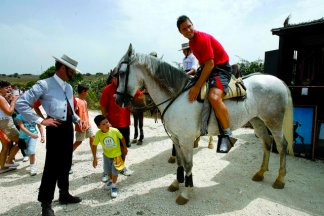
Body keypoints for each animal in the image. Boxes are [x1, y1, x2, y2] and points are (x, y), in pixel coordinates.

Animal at [114, 43, 294, 204]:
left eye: (121, 73)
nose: (117, 100)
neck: (177, 96)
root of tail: (278, 81)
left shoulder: (186, 140)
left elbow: (188, 165)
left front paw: (186, 192)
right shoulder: (176, 139)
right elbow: (179, 162)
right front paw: (176, 183)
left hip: (274, 121)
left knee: (281, 145)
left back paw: (280, 179)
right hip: (258, 120)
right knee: (267, 143)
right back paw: (260, 173)